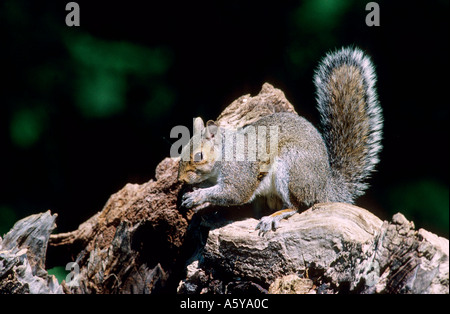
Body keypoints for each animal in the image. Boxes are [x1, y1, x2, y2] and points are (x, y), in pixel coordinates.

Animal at [178, 46, 382, 233]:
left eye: (199, 156)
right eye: (181, 151)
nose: (181, 179)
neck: (224, 153)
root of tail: (324, 186)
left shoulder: (239, 172)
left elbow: (233, 193)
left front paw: (198, 196)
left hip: (291, 169)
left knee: (296, 206)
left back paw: (273, 217)